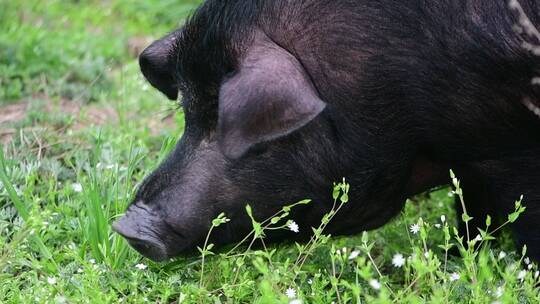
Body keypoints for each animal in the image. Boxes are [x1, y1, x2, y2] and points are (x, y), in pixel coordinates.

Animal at [113, 0, 540, 262]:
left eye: (252, 140)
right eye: (190, 113)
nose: (127, 225)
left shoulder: (510, 155)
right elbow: (471, 217)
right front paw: (455, 259)